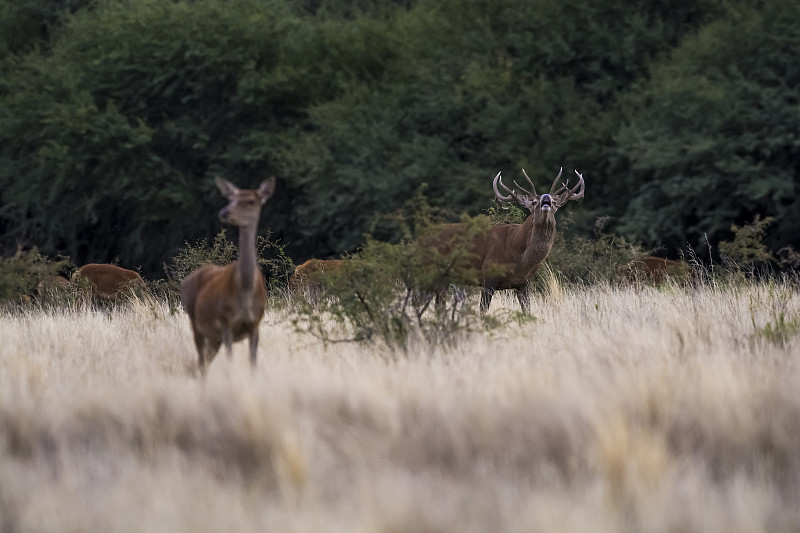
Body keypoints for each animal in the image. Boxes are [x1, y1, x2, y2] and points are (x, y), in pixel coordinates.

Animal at [181, 176, 278, 374]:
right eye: (231, 199)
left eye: (251, 201)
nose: (224, 212)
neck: (245, 291)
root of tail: (185, 281)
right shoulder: (224, 321)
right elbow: (230, 360)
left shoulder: (255, 322)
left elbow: (253, 362)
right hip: (196, 323)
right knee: (200, 362)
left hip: (213, 337)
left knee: (205, 362)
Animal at [434, 168, 584, 314]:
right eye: (534, 202)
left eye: (554, 202)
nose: (545, 197)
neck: (519, 257)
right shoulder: (488, 276)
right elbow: (482, 310)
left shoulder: (524, 283)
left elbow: (527, 311)